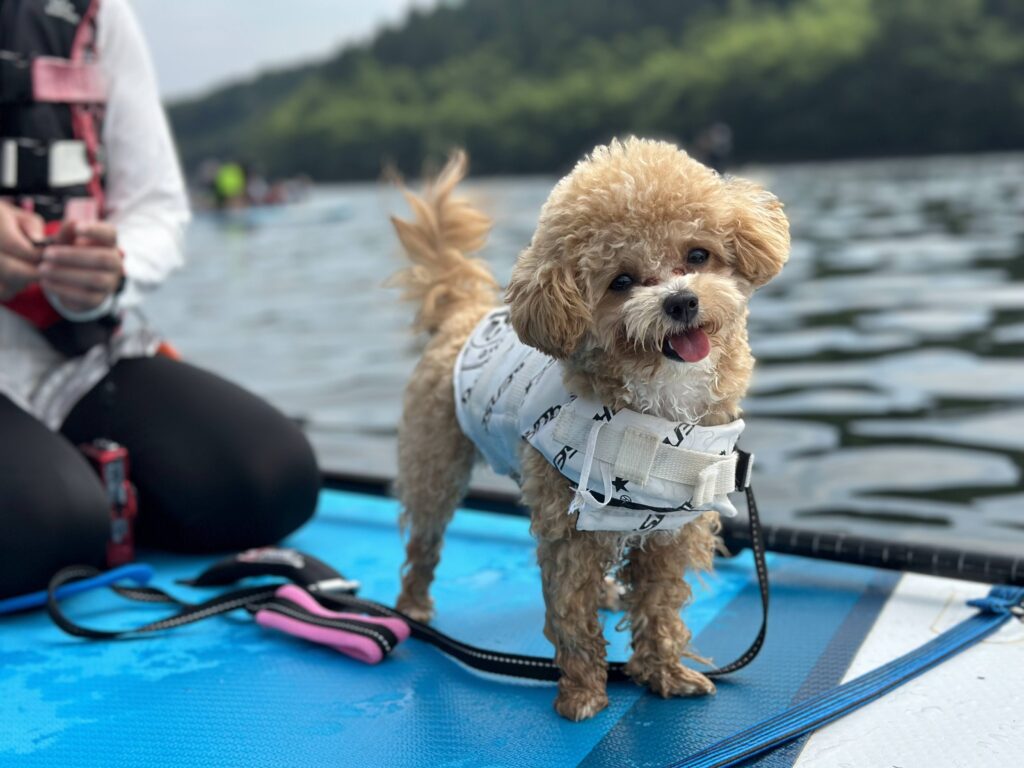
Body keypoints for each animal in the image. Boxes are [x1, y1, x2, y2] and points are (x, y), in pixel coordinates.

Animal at [388, 137, 789, 721]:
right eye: (621, 281)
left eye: (698, 255)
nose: (681, 301)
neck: (658, 411)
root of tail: (464, 314)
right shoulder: (566, 528)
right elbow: (571, 614)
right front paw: (581, 694)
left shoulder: (671, 528)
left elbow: (660, 607)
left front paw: (664, 673)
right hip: (434, 466)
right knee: (424, 539)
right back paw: (414, 605)